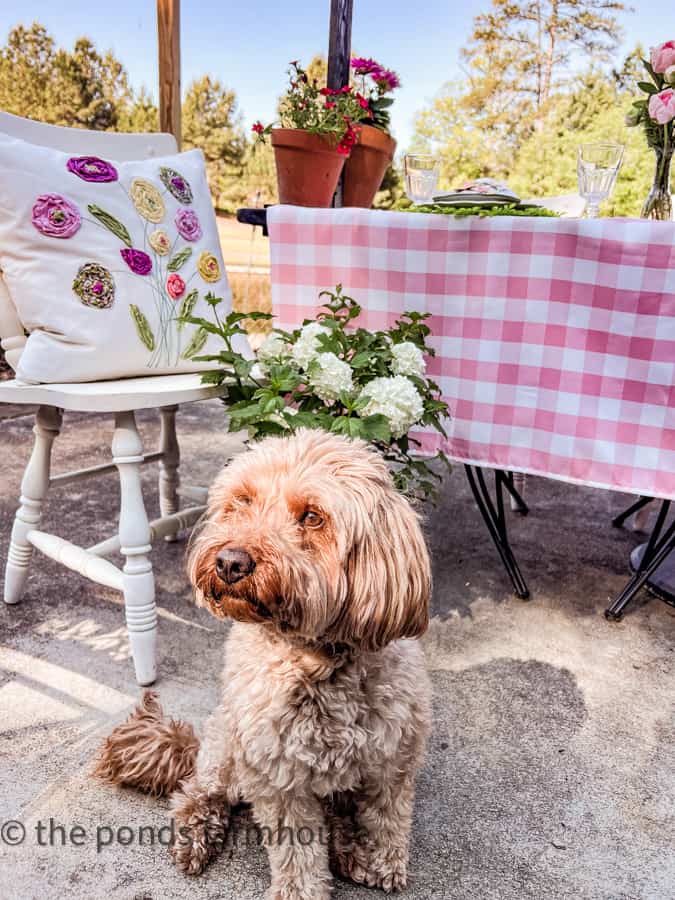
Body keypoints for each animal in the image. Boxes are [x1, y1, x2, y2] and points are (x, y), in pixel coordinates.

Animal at [93, 430, 434, 900]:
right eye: (242, 501)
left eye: (312, 517)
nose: (230, 562)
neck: (316, 661)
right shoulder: (280, 779)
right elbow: (297, 850)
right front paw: (301, 892)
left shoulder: (393, 760)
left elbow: (386, 818)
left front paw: (383, 862)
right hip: (226, 749)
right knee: (197, 791)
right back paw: (196, 833)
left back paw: (346, 847)